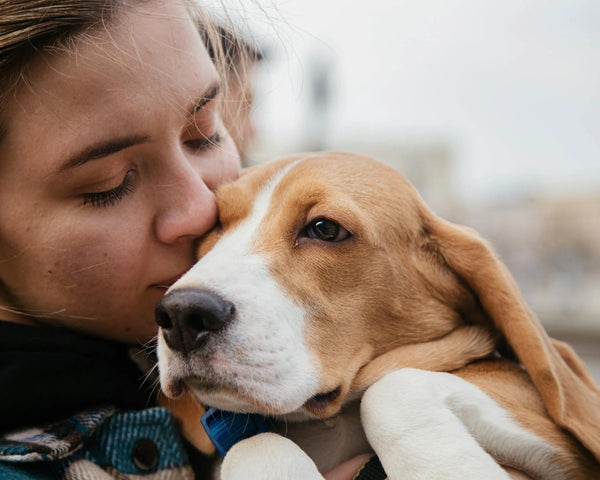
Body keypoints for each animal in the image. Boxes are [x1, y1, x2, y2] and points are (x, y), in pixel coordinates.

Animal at [156, 152, 600, 478]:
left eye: (325, 228)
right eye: (216, 224)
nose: (181, 314)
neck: (328, 423)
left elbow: (392, 388)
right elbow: (253, 444)